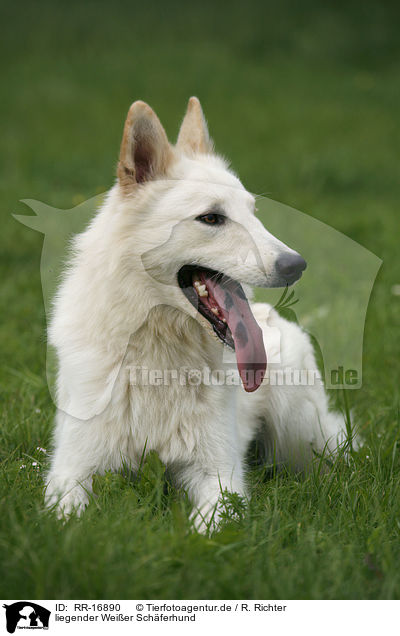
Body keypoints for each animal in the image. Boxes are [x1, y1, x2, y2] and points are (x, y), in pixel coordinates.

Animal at [46, 95, 350, 532]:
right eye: (211, 218)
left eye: (254, 212)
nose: (297, 265)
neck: (157, 357)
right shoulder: (71, 470)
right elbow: (66, 519)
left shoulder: (219, 475)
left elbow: (204, 531)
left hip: (298, 434)